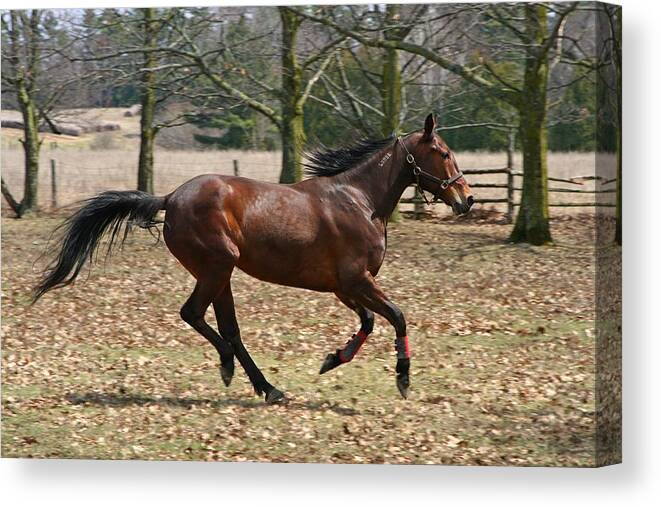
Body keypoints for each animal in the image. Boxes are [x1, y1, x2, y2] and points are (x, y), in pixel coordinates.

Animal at [33, 113, 472, 402]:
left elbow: (367, 322)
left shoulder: (343, 286)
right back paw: (234, 368)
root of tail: (170, 198)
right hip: (217, 267)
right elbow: (396, 316)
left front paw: (333, 358)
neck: (360, 200)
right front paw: (403, 378)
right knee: (196, 315)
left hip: (221, 274)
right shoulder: (356, 280)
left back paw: (266, 386)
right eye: (443, 152)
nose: (467, 199)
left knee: (229, 329)